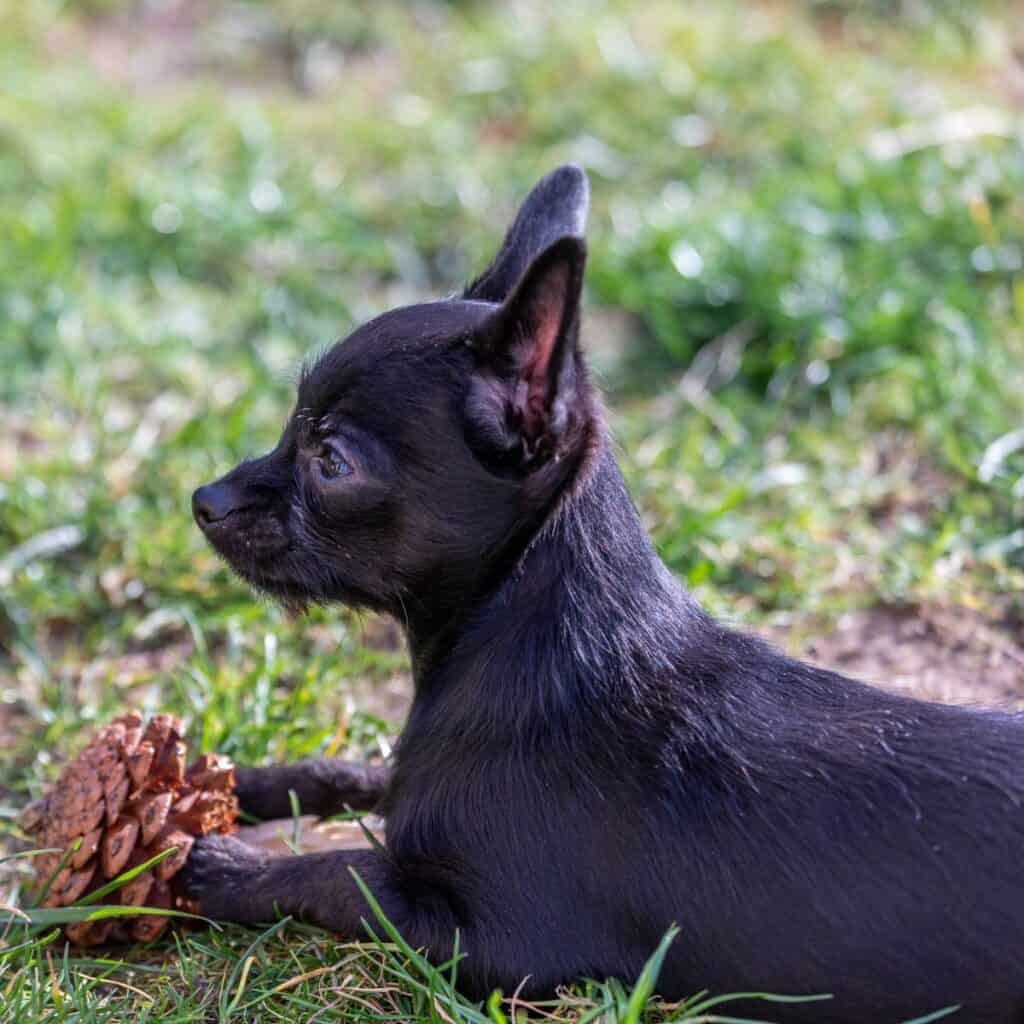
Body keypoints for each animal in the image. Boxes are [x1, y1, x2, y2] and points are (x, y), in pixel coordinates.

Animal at [184, 163, 1024, 1019]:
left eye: (331, 461)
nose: (204, 500)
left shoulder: (499, 945)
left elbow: (342, 875)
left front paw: (224, 866)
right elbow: (354, 774)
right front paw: (239, 781)